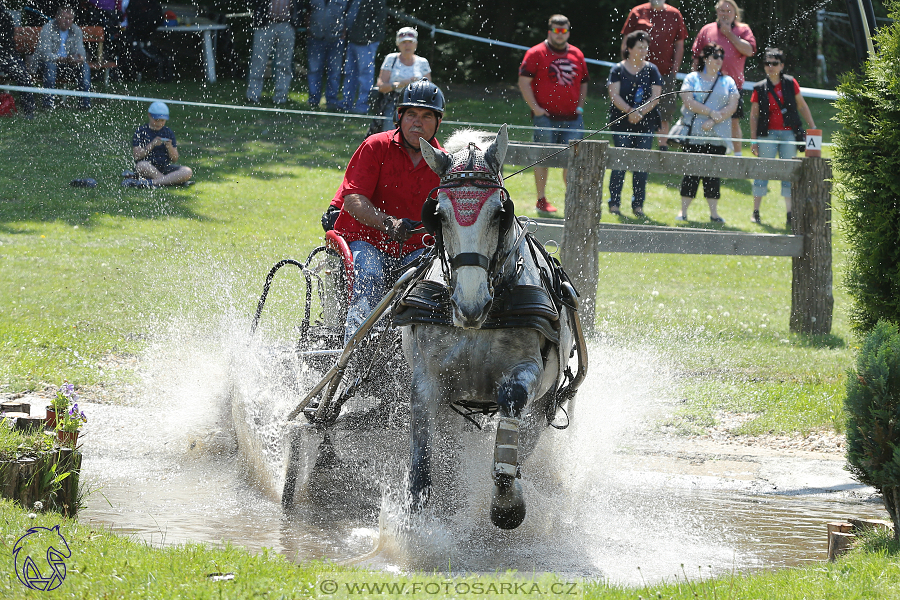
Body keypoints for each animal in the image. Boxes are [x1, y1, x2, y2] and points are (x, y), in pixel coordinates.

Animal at [394, 124, 584, 528]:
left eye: (500, 213)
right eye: (439, 214)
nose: (470, 303)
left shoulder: (527, 372)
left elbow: (510, 403)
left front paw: (507, 503)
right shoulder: (428, 377)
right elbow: (422, 464)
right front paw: (419, 515)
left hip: (546, 405)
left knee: (527, 440)